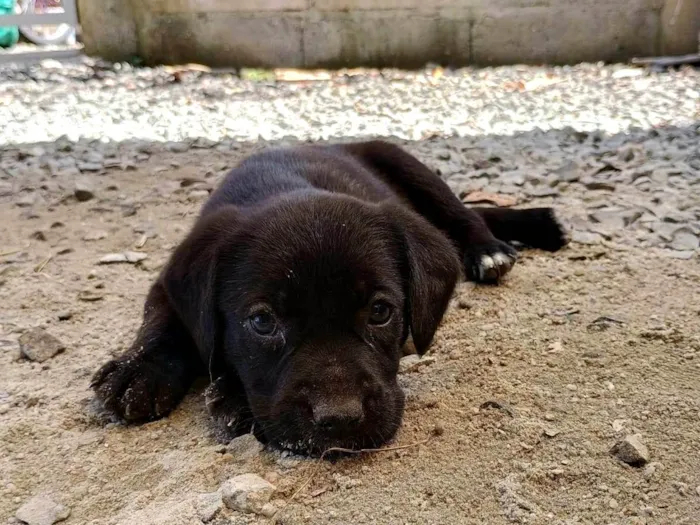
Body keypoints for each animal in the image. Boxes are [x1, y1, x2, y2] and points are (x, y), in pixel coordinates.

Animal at [90, 140, 568, 454]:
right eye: (262, 321)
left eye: (380, 312)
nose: (339, 419)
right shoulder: (170, 280)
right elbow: (162, 317)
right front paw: (139, 370)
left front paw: (228, 392)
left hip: (409, 166)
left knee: (464, 215)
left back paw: (491, 249)